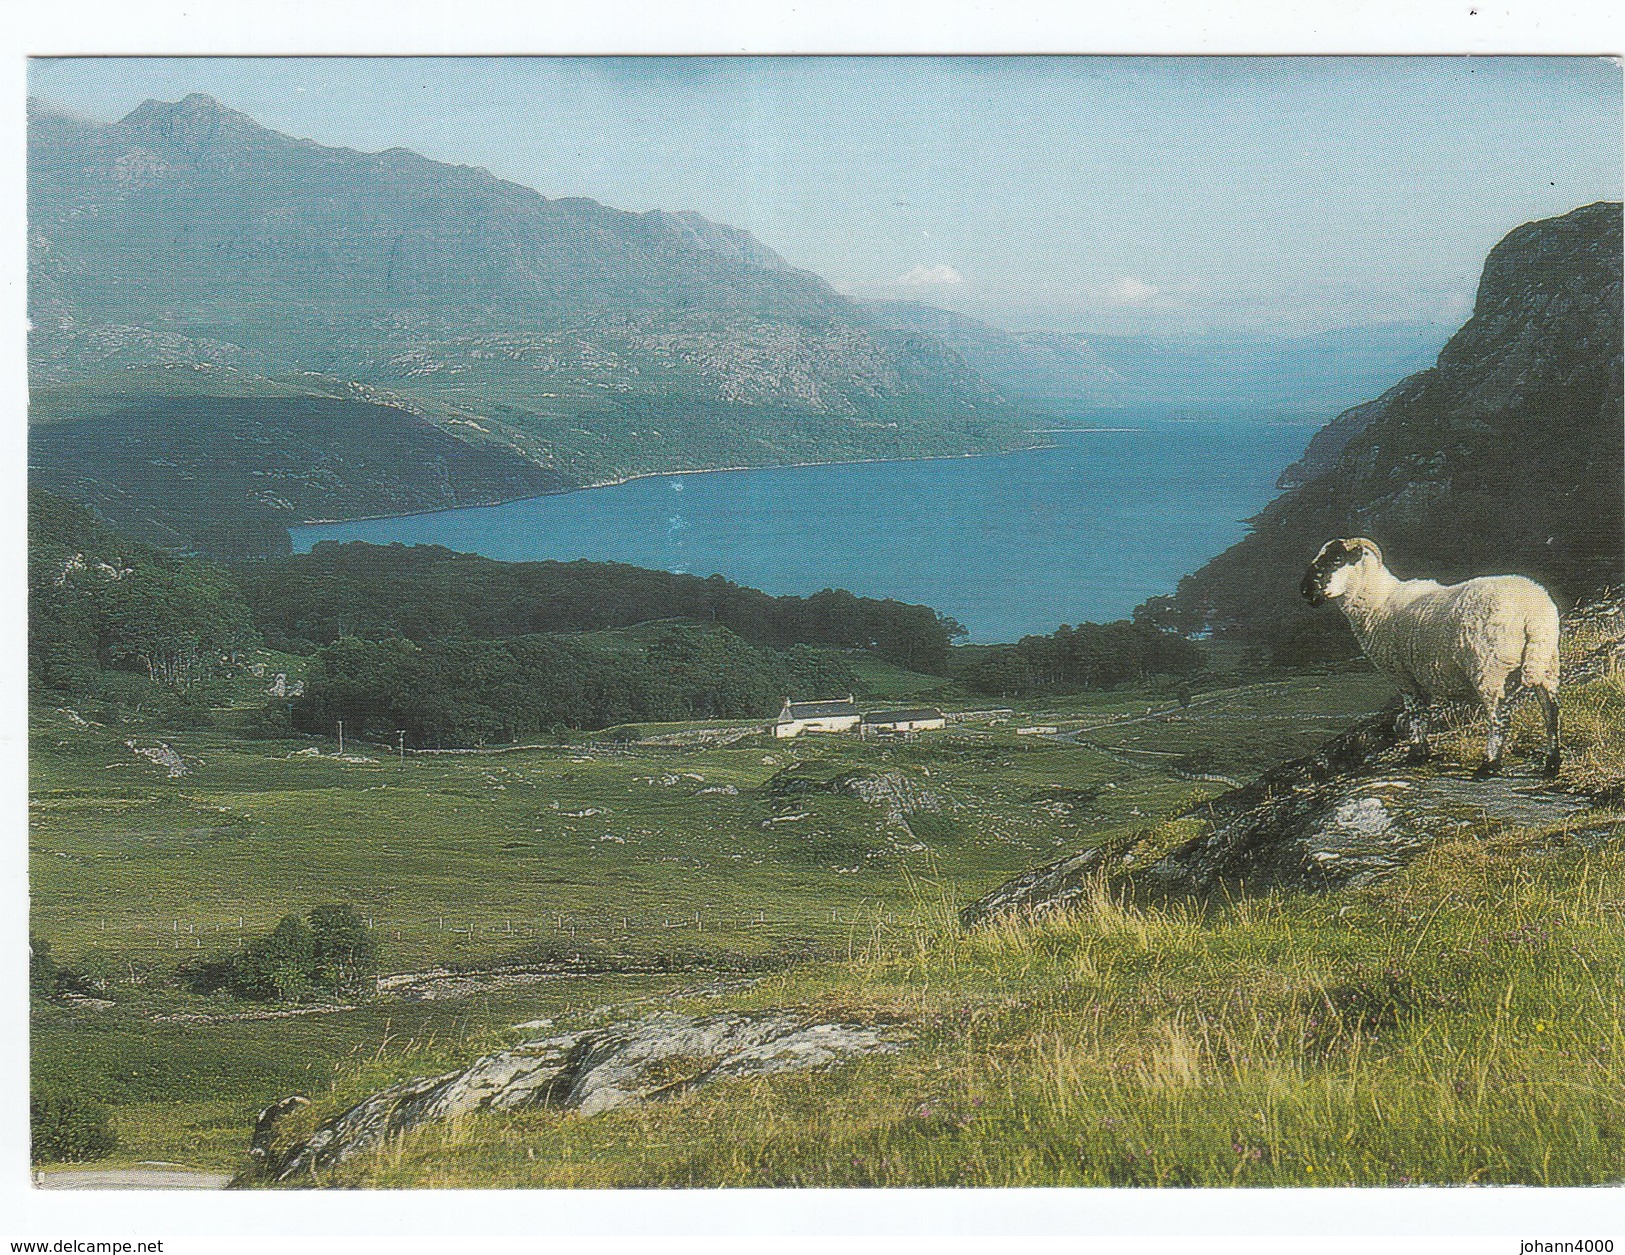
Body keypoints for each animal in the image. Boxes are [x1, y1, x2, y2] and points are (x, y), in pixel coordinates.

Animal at [1293, 536, 1560, 773]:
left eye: (1337, 559)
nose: (1305, 591)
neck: (1377, 602)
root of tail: (1535, 612)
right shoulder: (1421, 676)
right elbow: (1423, 715)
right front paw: (1423, 752)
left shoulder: (1403, 674)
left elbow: (1414, 714)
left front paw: (1415, 754)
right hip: (1546, 661)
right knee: (1551, 711)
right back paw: (1552, 763)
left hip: (1490, 666)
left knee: (1499, 718)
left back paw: (1489, 765)